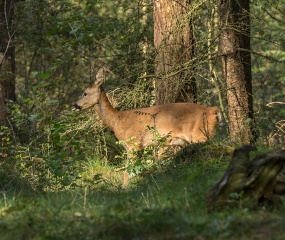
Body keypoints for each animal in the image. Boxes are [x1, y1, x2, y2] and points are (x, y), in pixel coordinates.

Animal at [72, 68, 217, 185]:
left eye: (85, 93)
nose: (74, 105)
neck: (117, 120)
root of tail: (213, 111)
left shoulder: (134, 143)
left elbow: (128, 170)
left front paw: (124, 187)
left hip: (200, 135)